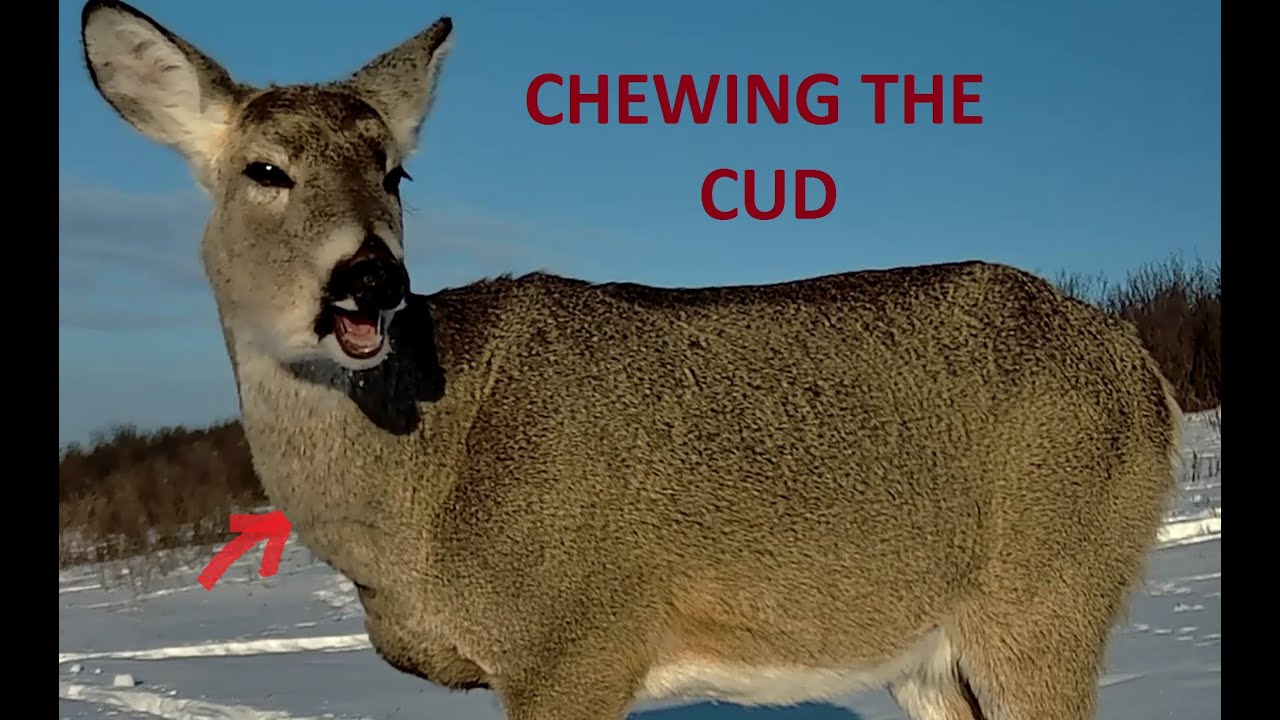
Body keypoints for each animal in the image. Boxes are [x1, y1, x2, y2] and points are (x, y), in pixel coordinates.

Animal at [78, 2, 1182, 718]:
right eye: (265, 171)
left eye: (394, 172)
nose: (371, 279)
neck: (418, 501)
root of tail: (1144, 370)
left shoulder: (574, 640)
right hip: (929, 651)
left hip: (1045, 589)